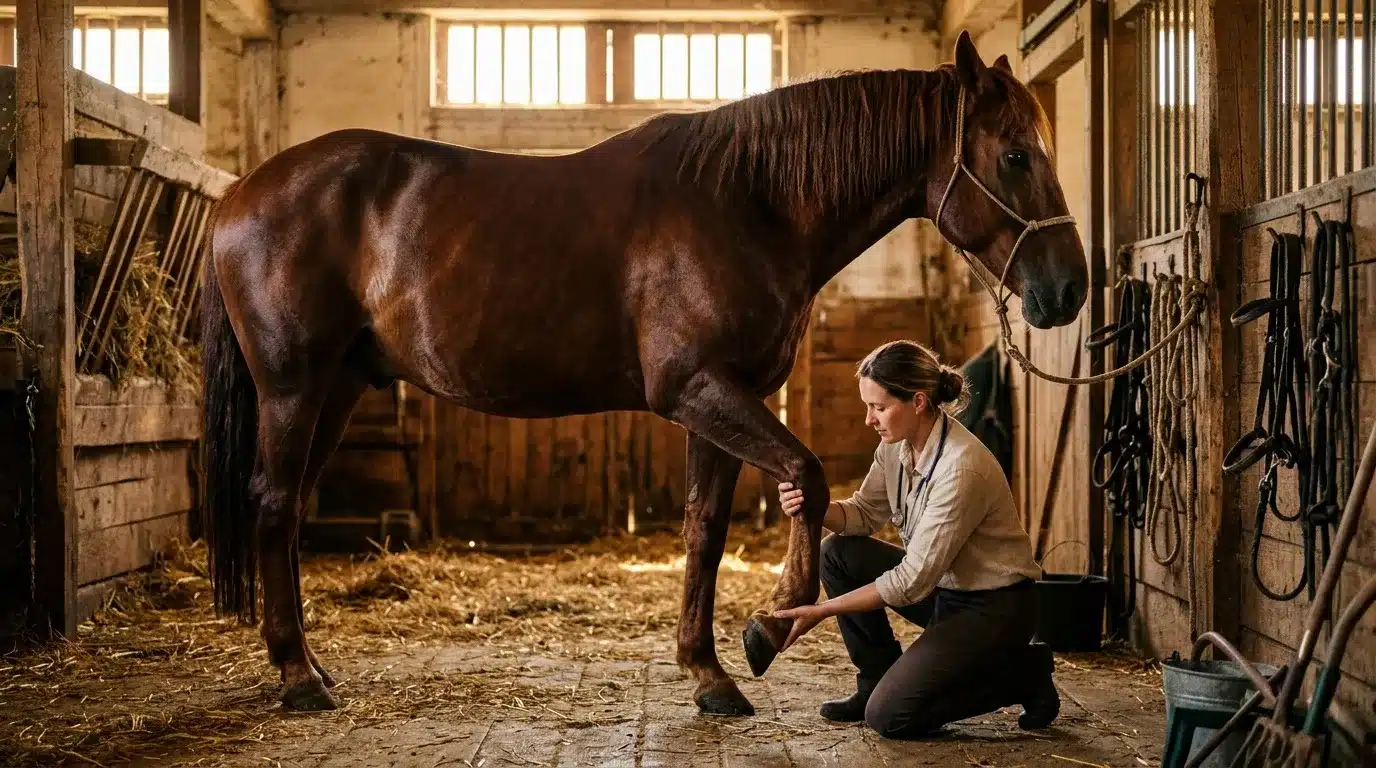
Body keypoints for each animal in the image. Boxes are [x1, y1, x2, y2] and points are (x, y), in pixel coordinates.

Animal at [199, 30, 1087, 717]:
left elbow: (706, 529)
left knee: (291, 506)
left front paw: (709, 672)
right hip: (294, 387)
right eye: (1014, 154)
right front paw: (772, 626)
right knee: (273, 503)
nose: (1069, 289)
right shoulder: (697, 389)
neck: (748, 202)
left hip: (339, 387)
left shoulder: (723, 401)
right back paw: (297, 677)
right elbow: (805, 476)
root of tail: (241, 191)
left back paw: (310, 663)